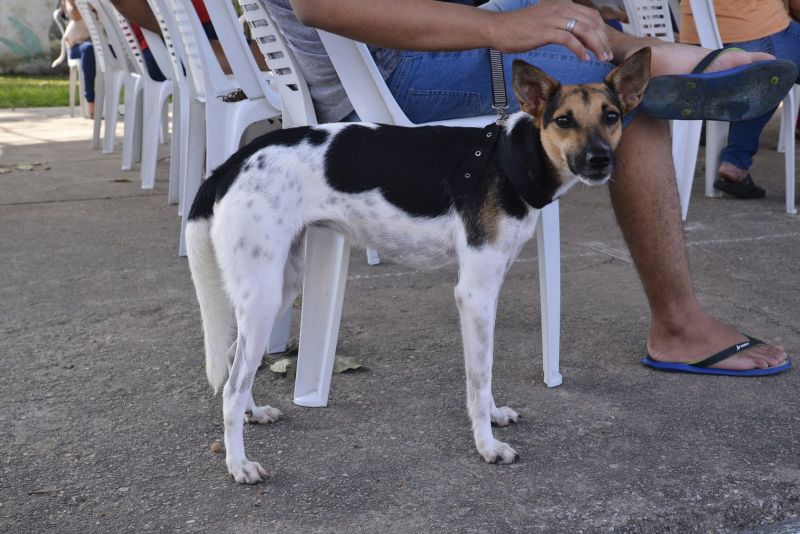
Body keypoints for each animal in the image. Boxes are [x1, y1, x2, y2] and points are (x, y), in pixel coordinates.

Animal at [186, 49, 648, 486]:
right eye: (563, 120)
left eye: (611, 116)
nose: (599, 160)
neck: (511, 160)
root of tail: (234, 163)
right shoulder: (475, 295)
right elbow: (479, 376)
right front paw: (487, 445)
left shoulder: (486, 293)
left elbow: (484, 371)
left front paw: (494, 417)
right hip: (263, 294)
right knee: (230, 388)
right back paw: (238, 464)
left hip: (282, 284)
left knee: (235, 358)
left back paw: (254, 413)